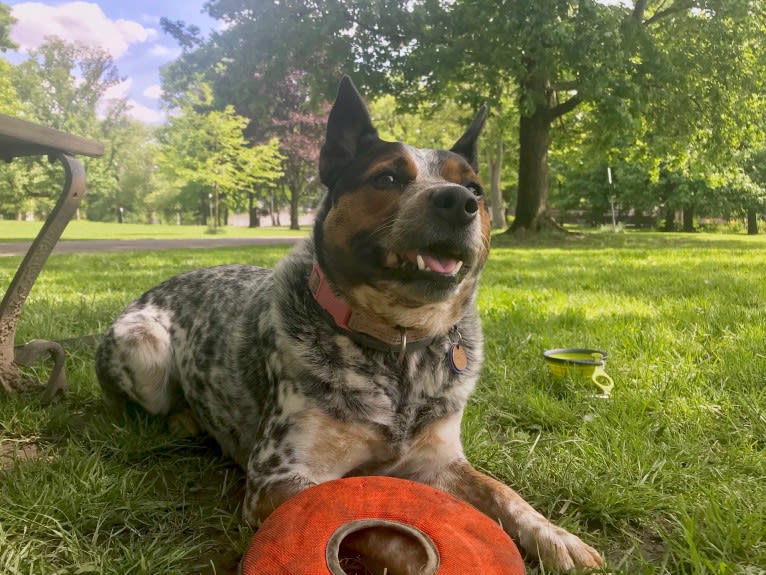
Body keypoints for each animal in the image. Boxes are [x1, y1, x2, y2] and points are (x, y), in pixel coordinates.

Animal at [96, 77, 604, 575]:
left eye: (476, 190)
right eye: (388, 177)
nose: (459, 201)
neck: (398, 346)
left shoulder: (440, 460)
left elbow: (502, 492)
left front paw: (556, 535)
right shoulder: (277, 478)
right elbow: (373, 527)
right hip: (143, 346)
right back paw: (182, 417)